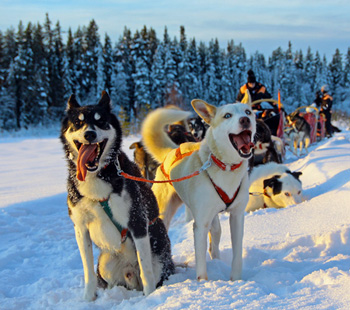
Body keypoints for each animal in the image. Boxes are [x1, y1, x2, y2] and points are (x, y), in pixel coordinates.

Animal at [61, 91, 175, 300]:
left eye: (101, 121)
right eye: (78, 122)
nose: (89, 134)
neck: (98, 175)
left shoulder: (137, 223)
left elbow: (146, 271)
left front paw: (149, 298)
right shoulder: (81, 228)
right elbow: (88, 272)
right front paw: (88, 299)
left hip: (158, 254)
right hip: (105, 262)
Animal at [141, 97, 256, 284]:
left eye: (248, 112)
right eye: (227, 115)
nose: (245, 120)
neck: (226, 167)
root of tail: (172, 152)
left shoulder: (237, 216)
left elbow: (237, 254)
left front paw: (236, 280)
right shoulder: (200, 225)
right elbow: (201, 263)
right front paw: (204, 284)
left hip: (213, 219)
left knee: (214, 238)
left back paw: (216, 260)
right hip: (164, 213)